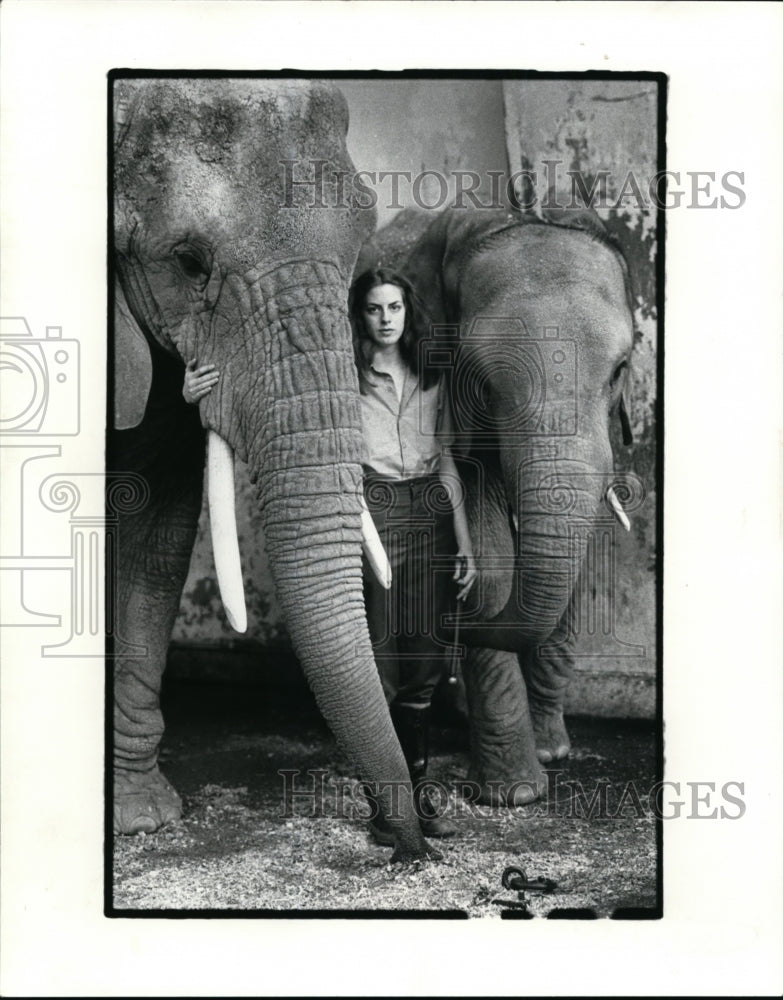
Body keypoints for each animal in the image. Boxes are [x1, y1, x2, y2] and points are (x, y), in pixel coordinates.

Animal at [356, 203, 636, 804]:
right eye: (484, 382)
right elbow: (489, 552)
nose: (454, 617)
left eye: (620, 370)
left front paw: (552, 756)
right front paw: (516, 795)